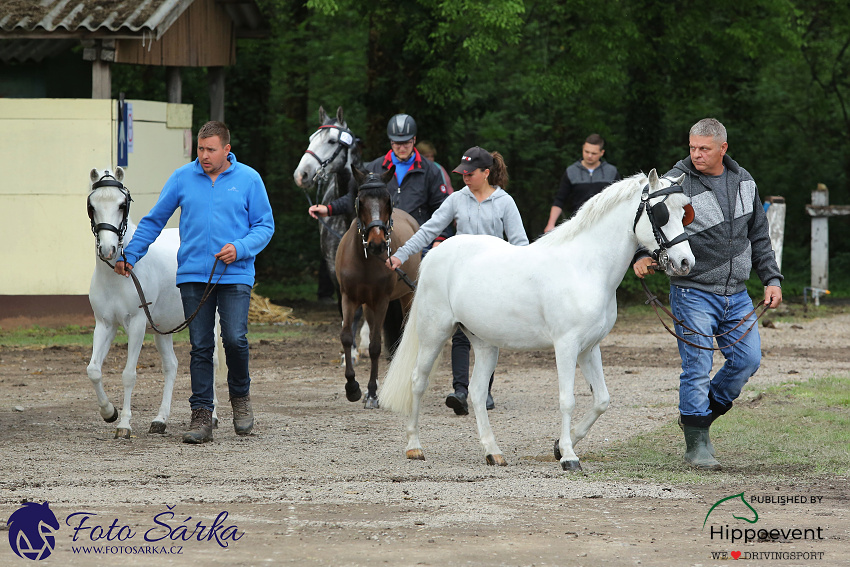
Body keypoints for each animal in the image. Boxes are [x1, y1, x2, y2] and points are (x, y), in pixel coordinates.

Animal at [86, 168, 222, 440]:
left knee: (212, 361)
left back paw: (211, 417)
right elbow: (94, 370)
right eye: (92, 206)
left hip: (209, 320)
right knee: (171, 366)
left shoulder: (137, 324)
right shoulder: (105, 325)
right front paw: (109, 413)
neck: (121, 272)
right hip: (164, 328)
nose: (108, 249)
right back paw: (160, 420)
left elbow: (129, 374)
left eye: (122, 204)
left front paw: (124, 425)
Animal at [336, 165, 420, 408]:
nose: (376, 244)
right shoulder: (349, 298)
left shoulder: (382, 301)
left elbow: (375, 346)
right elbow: (347, 337)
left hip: (406, 296)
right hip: (367, 305)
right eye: (361, 201)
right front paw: (353, 388)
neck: (365, 260)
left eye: (387, 200)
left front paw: (372, 393)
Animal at [380, 169, 696, 470]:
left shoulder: (589, 348)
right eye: (662, 212)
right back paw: (414, 447)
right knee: (418, 382)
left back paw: (493, 452)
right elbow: (567, 400)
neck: (585, 266)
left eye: (684, 212)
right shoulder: (566, 346)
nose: (685, 263)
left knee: (478, 393)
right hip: (434, 333)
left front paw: (561, 445)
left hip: (484, 343)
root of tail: (435, 253)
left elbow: (602, 400)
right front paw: (568, 456)